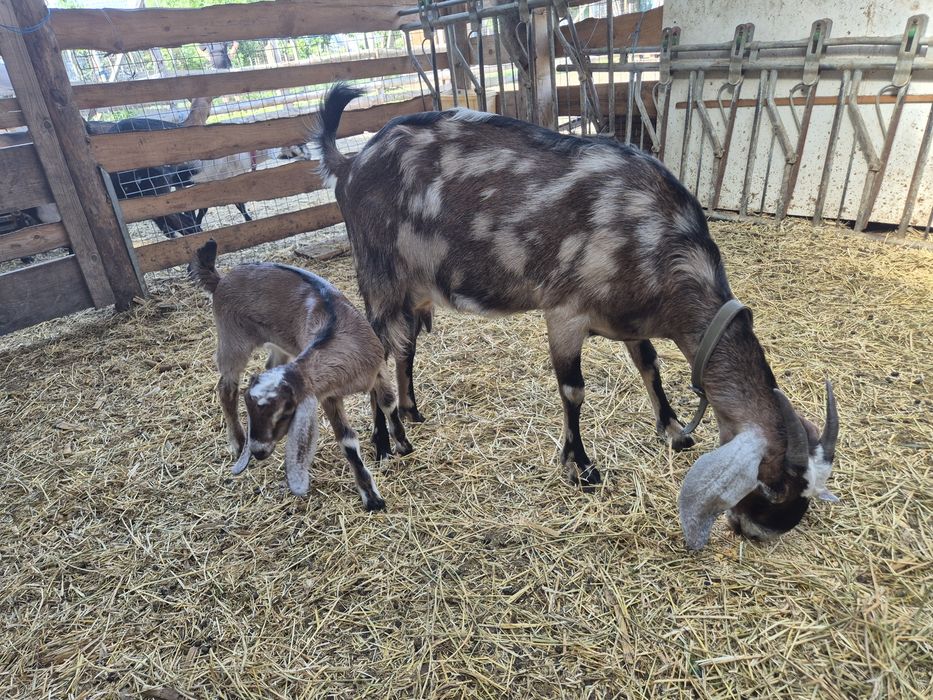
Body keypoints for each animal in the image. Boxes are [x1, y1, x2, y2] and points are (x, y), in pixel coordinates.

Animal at [188, 240, 413, 510]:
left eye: (286, 412)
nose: (258, 451)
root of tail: (221, 280)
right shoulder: (328, 397)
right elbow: (347, 440)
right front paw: (371, 497)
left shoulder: (378, 369)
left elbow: (389, 403)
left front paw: (404, 445)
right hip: (232, 338)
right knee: (226, 387)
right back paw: (238, 442)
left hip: (275, 343)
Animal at [311, 83, 840, 549]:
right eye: (772, 486)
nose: (756, 531)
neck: (660, 244)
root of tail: (351, 165)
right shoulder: (565, 313)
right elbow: (573, 391)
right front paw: (580, 466)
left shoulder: (628, 318)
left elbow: (650, 367)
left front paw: (673, 431)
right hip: (378, 278)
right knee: (377, 354)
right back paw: (389, 443)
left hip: (413, 292)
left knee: (404, 350)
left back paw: (411, 413)